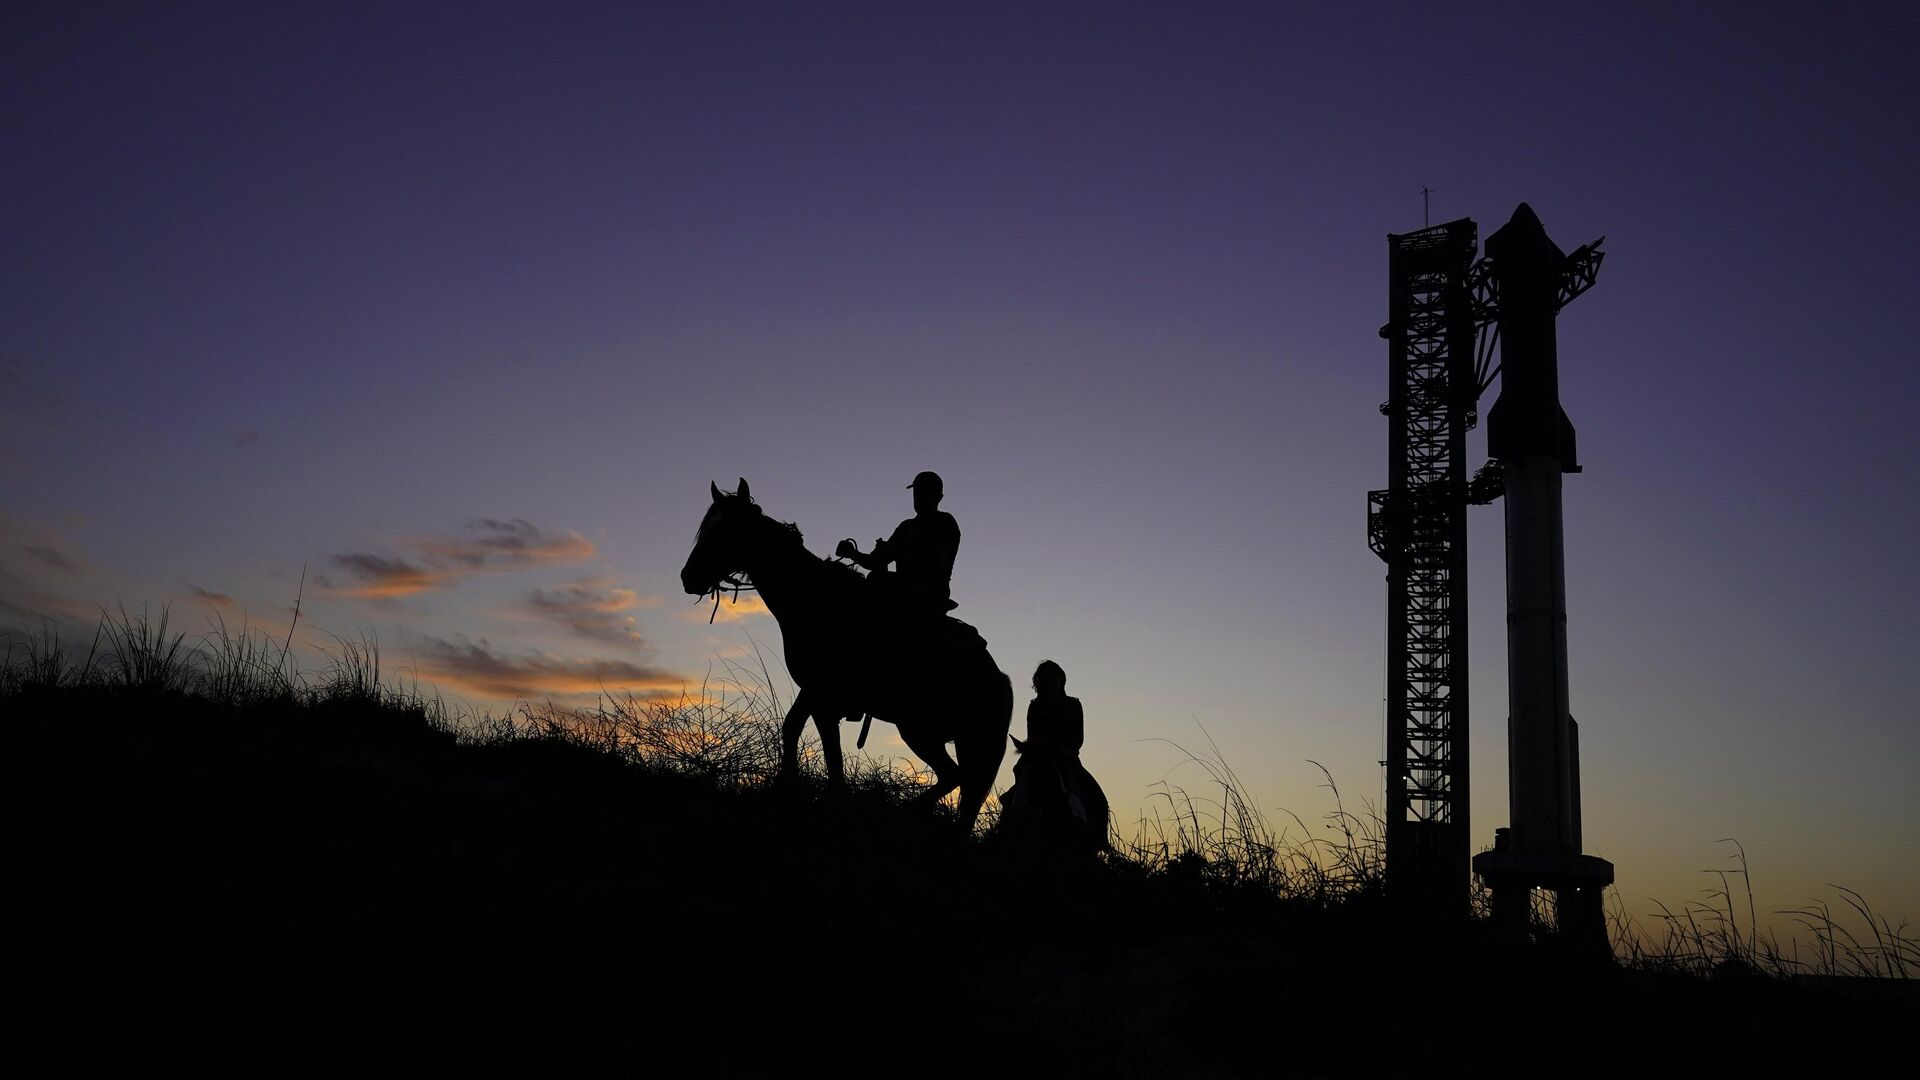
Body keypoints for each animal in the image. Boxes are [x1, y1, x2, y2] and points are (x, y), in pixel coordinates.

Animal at [691, 476, 1021, 822]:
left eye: (726, 531)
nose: (689, 578)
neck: (819, 602)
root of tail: (1000, 679)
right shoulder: (812, 690)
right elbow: (792, 728)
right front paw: (786, 789)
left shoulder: (825, 698)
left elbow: (833, 759)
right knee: (957, 783)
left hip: (921, 729)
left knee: (956, 777)